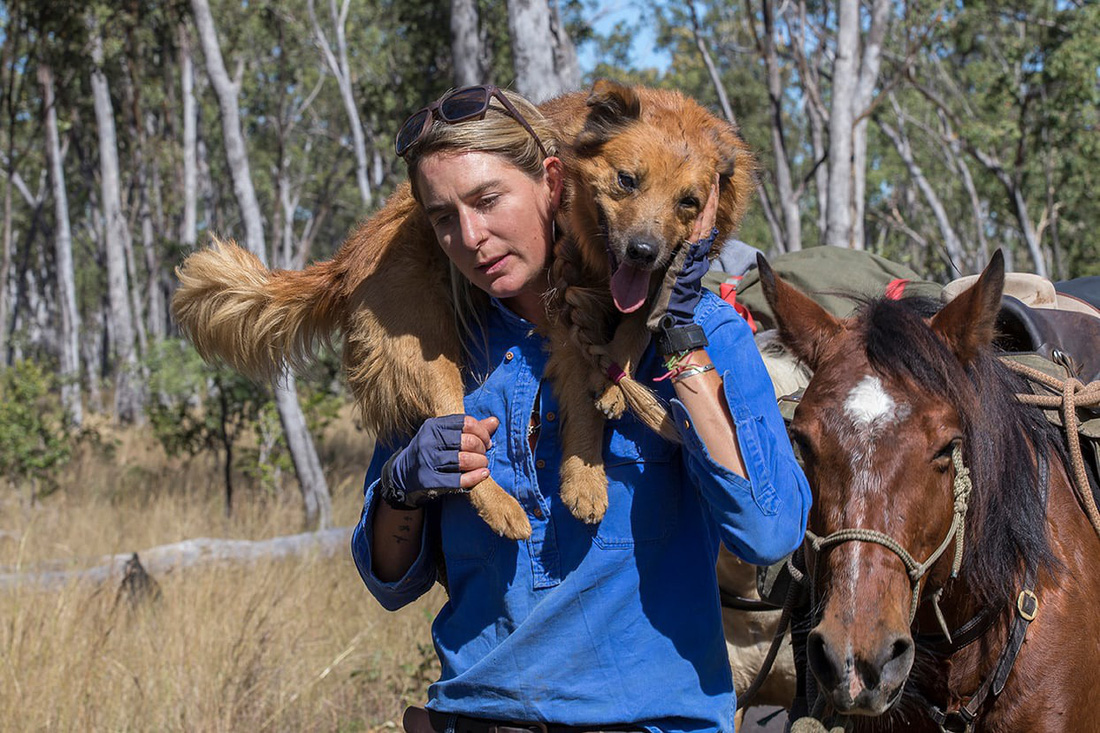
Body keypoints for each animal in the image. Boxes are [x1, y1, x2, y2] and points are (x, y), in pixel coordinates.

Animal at [173, 81, 756, 537]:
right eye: (626, 180)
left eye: (689, 202)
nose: (641, 251)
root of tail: (347, 258)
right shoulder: (565, 319)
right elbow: (585, 404)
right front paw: (587, 474)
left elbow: (639, 319)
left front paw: (617, 378)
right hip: (426, 352)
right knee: (453, 438)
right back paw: (500, 507)